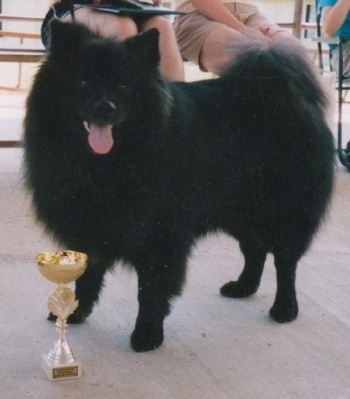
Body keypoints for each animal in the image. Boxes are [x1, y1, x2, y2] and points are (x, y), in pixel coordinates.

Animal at [23, 21, 334, 354]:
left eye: (123, 87)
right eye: (84, 81)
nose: (105, 107)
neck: (104, 163)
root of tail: (287, 95)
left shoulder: (161, 235)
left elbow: (150, 289)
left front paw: (147, 334)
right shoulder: (88, 228)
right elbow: (87, 277)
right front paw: (74, 312)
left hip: (282, 212)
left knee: (285, 261)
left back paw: (285, 308)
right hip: (239, 212)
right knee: (255, 250)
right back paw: (243, 287)